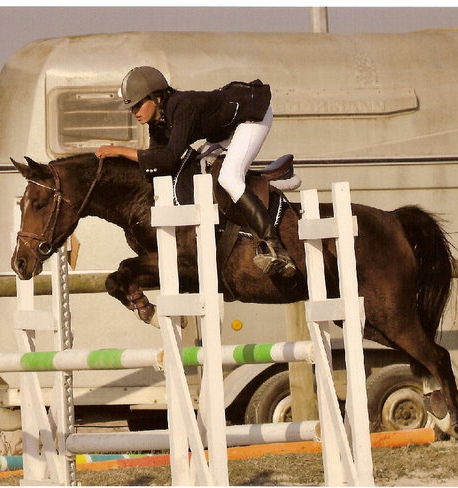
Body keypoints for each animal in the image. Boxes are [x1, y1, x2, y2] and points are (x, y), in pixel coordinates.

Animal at [10, 150, 458, 436]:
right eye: (22, 203)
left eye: (38, 202)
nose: (20, 263)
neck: (146, 197)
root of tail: (394, 221)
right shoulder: (173, 272)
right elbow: (116, 278)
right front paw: (146, 308)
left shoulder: (188, 266)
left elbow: (123, 272)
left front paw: (150, 310)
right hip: (370, 320)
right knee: (423, 356)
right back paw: (436, 409)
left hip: (390, 314)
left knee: (435, 354)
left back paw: (449, 418)